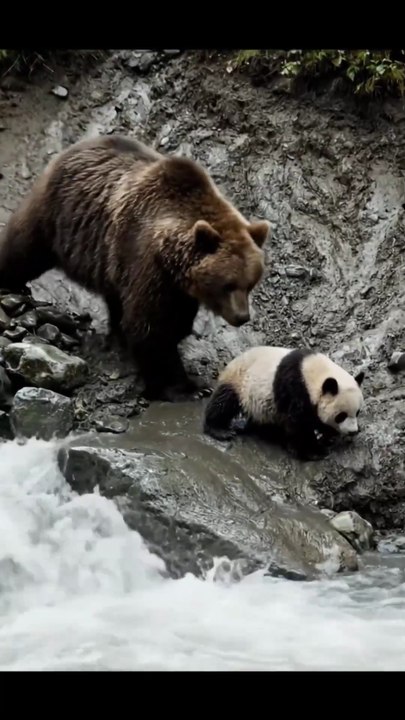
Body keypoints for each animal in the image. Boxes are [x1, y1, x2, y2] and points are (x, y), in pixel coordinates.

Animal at [0, 135, 270, 401]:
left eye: (250, 284)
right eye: (228, 285)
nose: (242, 316)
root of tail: (74, 147)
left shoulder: (176, 287)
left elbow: (175, 324)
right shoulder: (145, 260)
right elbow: (149, 329)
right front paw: (178, 385)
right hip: (57, 213)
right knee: (23, 249)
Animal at [203, 346, 365, 460]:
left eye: (357, 412)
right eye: (341, 415)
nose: (353, 431)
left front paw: (328, 436)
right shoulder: (295, 388)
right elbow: (299, 423)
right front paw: (313, 451)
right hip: (239, 381)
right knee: (223, 402)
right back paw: (220, 430)